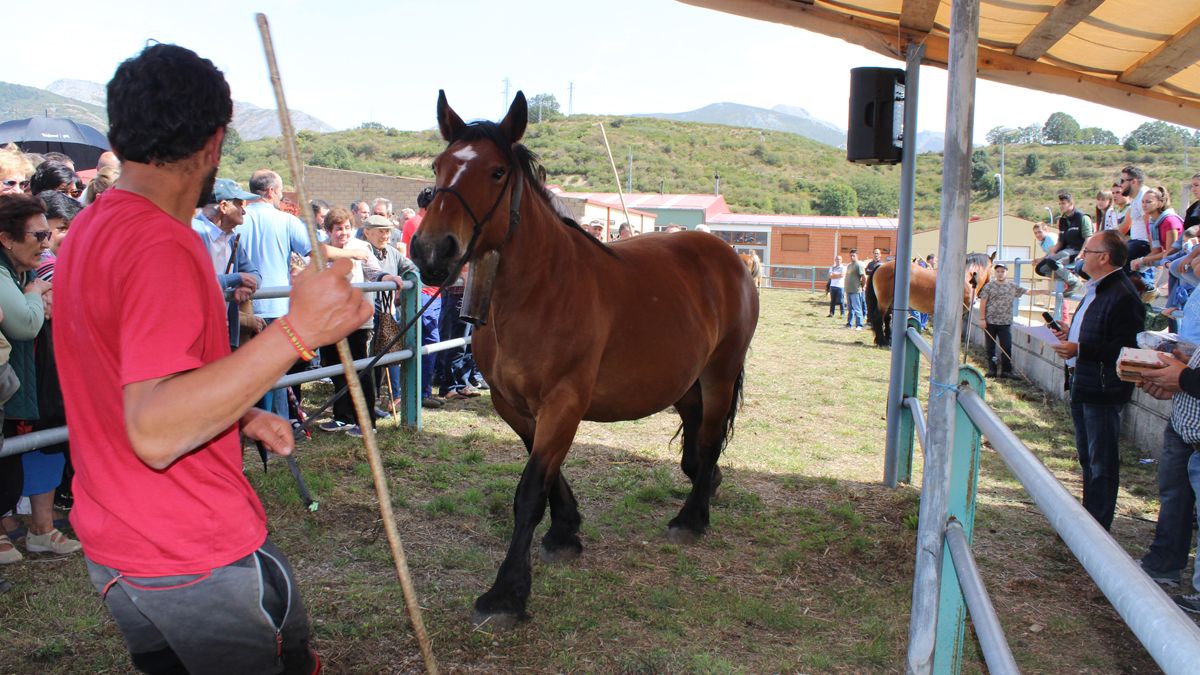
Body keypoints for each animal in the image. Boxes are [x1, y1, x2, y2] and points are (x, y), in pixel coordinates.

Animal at [408, 89, 753, 624]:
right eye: (439, 165)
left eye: (496, 172)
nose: (430, 252)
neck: (539, 291)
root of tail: (727, 254)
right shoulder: (513, 405)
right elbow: (546, 477)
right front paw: (565, 531)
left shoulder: (563, 403)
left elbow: (530, 491)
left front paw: (507, 593)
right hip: (683, 380)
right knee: (696, 435)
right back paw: (704, 480)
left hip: (719, 372)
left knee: (712, 436)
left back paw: (692, 518)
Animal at [864, 252, 993, 345]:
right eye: (992, 267)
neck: (965, 278)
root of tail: (881, 266)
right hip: (884, 302)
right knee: (878, 317)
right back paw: (882, 341)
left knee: (887, 318)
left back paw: (888, 339)